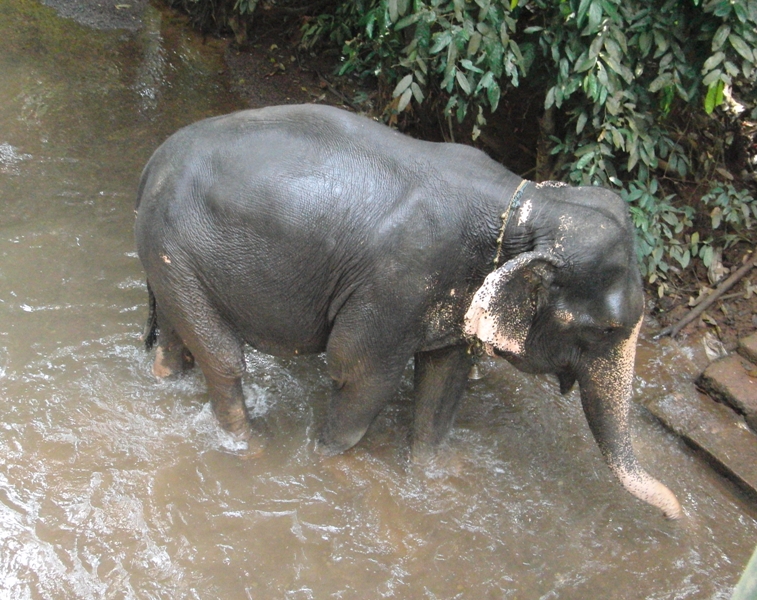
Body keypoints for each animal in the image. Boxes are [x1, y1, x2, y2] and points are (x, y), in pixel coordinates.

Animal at [134, 101, 680, 516]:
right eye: (608, 329)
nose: (678, 514)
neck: (526, 207)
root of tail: (154, 162)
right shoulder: (398, 283)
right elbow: (360, 373)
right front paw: (325, 462)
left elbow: (444, 378)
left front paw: (439, 476)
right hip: (174, 242)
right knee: (224, 359)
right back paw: (250, 449)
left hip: (173, 260)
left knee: (180, 333)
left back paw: (167, 377)